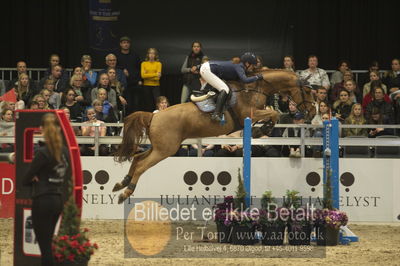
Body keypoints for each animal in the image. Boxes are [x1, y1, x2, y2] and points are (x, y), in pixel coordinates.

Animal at [113, 69, 316, 204]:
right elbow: (272, 114)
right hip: (165, 150)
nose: (313, 112)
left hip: (160, 147)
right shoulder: (248, 114)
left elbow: (272, 114)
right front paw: (262, 130)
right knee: (142, 166)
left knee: (138, 158)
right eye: (307, 91)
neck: (255, 88)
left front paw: (262, 130)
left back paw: (121, 183)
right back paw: (125, 192)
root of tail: (154, 116)